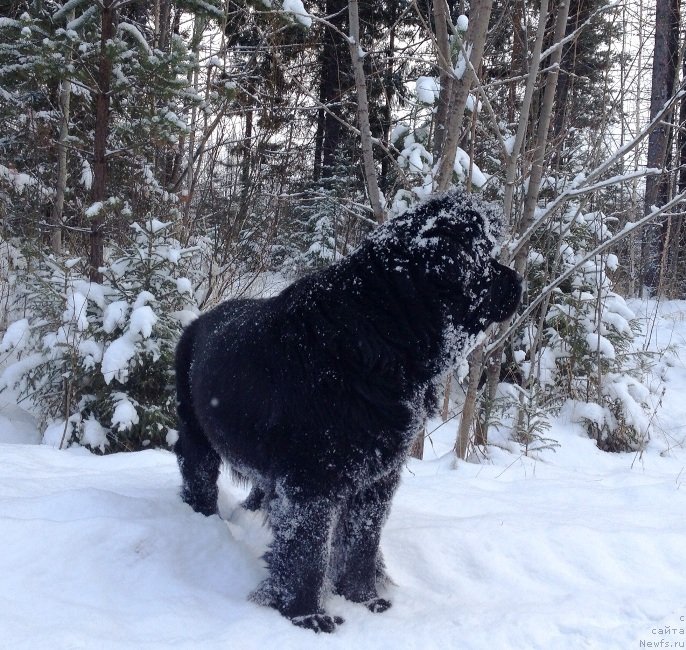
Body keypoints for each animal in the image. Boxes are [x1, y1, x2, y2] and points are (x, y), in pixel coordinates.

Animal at [173, 190, 520, 632]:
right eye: (484, 256)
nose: (518, 280)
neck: (380, 338)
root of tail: (197, 321)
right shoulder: (311, 482)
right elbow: (306, 552)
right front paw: (306, 614)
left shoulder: (377, 482)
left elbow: (360, 544)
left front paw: (365, 599)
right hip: (196, 432)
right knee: (197, 473)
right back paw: (203, 518)